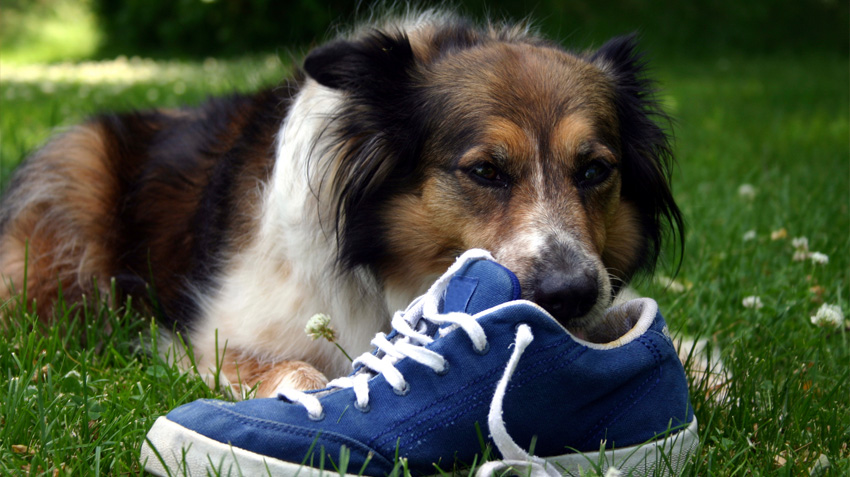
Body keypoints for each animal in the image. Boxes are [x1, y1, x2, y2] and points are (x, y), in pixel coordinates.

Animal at [0, 12, 684, 398]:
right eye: (485, 171)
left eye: (594, 170)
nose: (571, 295)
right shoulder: (218, 339)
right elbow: (298, 371)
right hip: (76, 182)